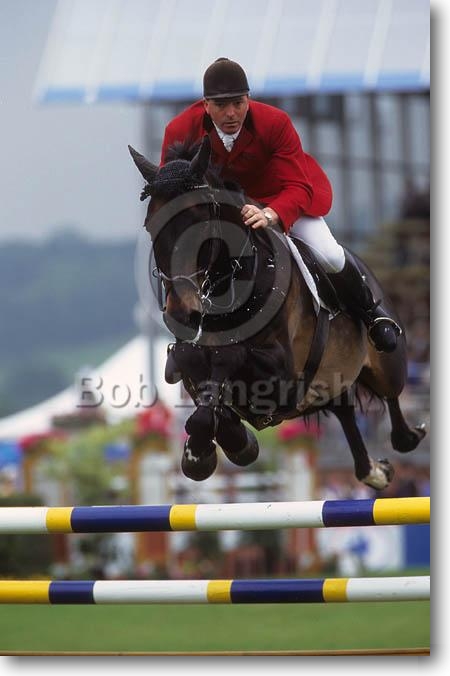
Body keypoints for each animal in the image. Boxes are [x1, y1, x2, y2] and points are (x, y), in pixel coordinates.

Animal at [129, 135, 426, 488]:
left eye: (201, 224)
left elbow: (230, 359)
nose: (182, 312)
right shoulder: (190, 364)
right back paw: (374, 470)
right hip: (328, 381)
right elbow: (201, 386)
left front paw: (217, 448)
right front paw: (212, 451)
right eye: (150, 227)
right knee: (344, 409)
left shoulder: (282, 375)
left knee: (391, 394)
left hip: (386, 362)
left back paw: (407, 435)